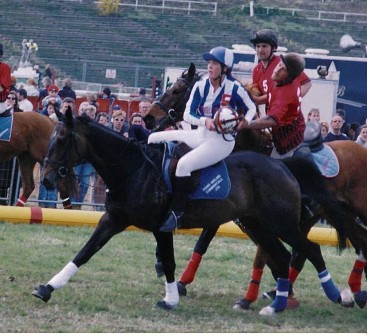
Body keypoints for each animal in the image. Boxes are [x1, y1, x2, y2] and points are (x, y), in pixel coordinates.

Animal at [32, 108, 356, 316]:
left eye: (62, 139)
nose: (46, 180)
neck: (133, 169)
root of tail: (281, 165)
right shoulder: (113, 219)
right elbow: (85, 252)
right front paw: (47, 287)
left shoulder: (160, 226)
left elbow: (169, 263)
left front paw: (170, 299)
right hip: (256, 225)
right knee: (282, 257)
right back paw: (275, 304)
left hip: (281, 224)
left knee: (310, 250)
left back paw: (337, 295)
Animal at [143, 63, 367, 310]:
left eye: (176, 90)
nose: (147, 118)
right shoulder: (238, 217)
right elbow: (205, 244)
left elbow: (261, 255)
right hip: (336, 214)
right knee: (351, 242)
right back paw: (352, 291)